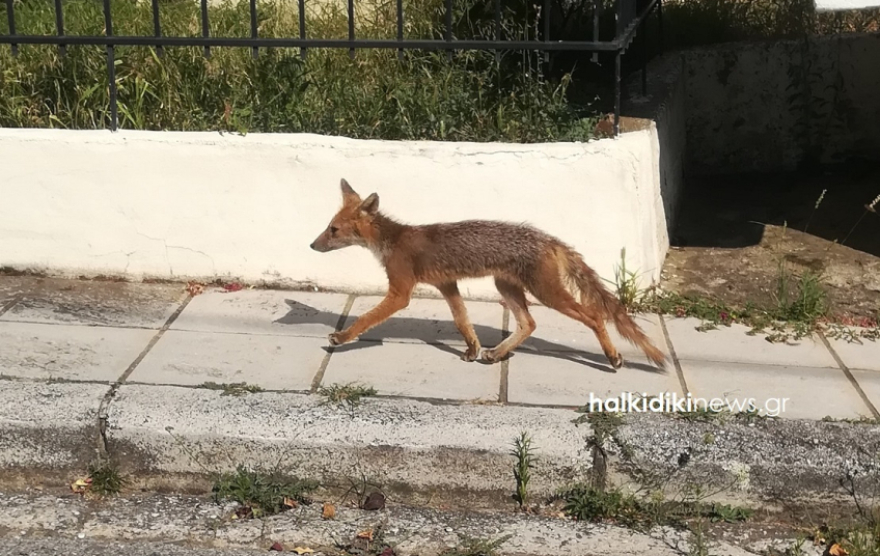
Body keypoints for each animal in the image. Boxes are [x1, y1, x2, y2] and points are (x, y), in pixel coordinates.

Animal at [310, 179, 668, 370]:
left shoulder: (401, 292)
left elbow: (365, 319)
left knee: (594, 316)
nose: (312, 245)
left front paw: (342, 337)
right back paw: (497, 353)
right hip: (506, 287)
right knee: (529, 324)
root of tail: (548, 238)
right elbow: (463, 322)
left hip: (547, 294)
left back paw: (613, 356)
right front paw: (471, 349)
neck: (393, 240)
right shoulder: (447, 284)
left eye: (333, 229)